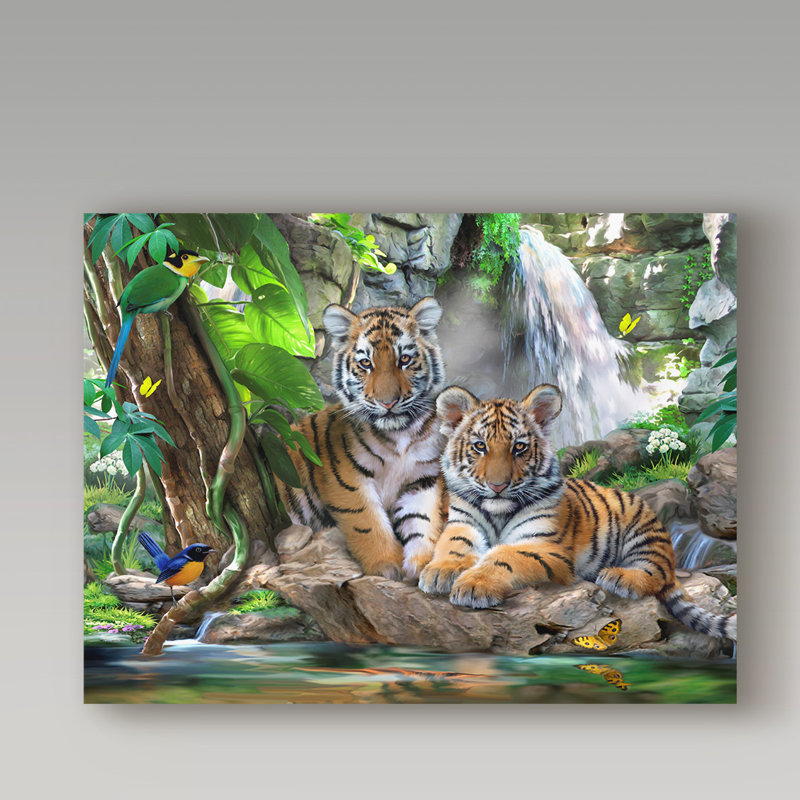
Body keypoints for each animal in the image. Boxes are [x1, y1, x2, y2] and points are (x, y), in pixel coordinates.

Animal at [277, 298, 447, 581]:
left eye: (405, 359)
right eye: (366, 363)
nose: (388, 402)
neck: (399, 434)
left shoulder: (422, 479)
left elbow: (422, 521)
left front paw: (422, 564)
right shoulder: (346, 479)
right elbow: (368, 522)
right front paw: (387, 565)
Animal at [419, 384, 737, 640]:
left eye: (519, 447)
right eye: (479, 446)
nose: (498, 486)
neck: (498, 511)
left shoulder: (545, 547)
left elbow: (505, 556)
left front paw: (474, 585)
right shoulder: (462, 522)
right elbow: (454, 544)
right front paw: (440, 571)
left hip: (643, 532)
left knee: (655, 574)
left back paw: (618, 577)